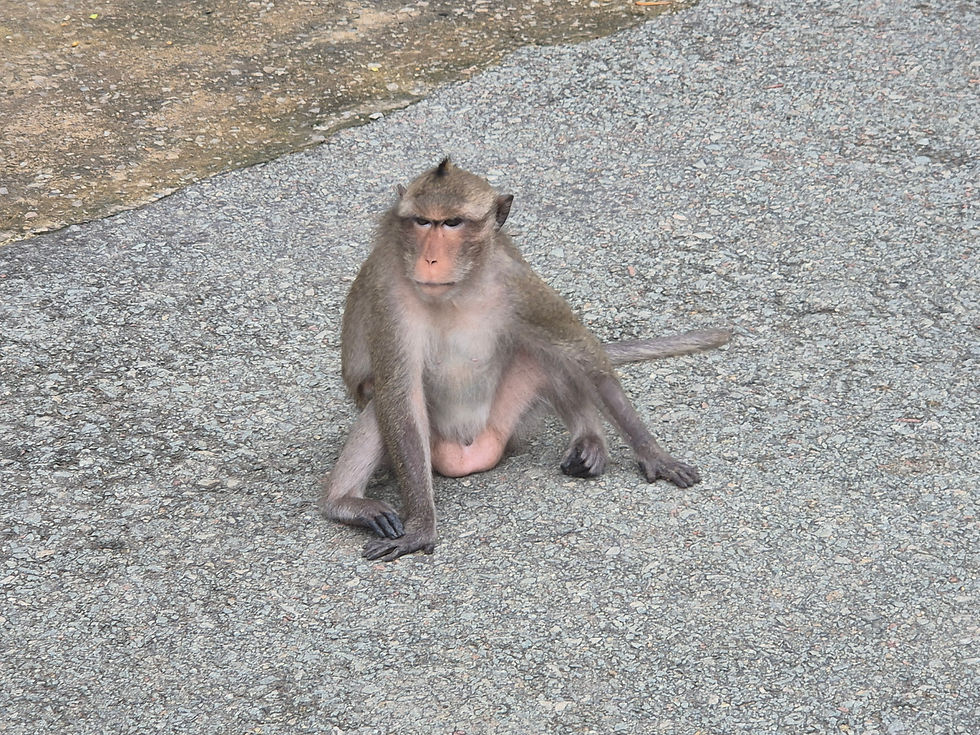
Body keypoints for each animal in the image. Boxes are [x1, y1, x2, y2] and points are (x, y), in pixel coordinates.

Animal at [319, 158, 730, 561]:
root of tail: (472, 455)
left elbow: (582, 352)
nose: (430, 258)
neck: (459, 291)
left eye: (452, 223)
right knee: (381, 405)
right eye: (422, 221)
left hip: (510, 422)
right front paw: (420, 524)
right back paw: (344, 501)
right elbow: (399, 395)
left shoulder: (519, 284)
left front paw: (653, 453)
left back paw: (590, 440)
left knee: (545, 352)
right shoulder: (389, 298)